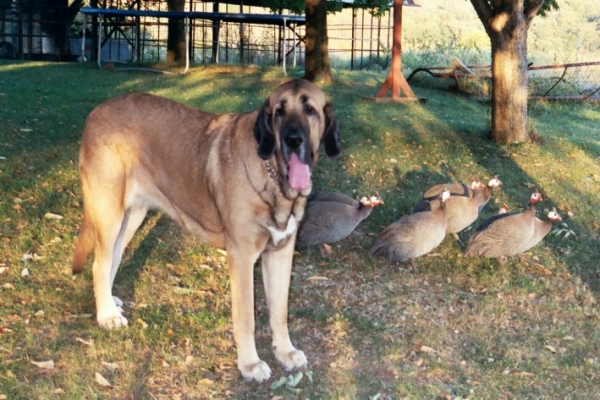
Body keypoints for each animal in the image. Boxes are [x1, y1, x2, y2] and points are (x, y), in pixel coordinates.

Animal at [71, 79, 338, 382]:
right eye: (279, 112)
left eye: (310, 110)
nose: (293, 140)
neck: (273, 176)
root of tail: (95, 112)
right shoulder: (242, 258)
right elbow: (246, 318)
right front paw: (250, 363)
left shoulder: (281, 254)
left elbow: (280, 312)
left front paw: (285, 351)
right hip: (109, 211)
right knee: (99, 264)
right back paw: (106, 314)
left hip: (132, 215)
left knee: (113, 257)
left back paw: (109, 302)